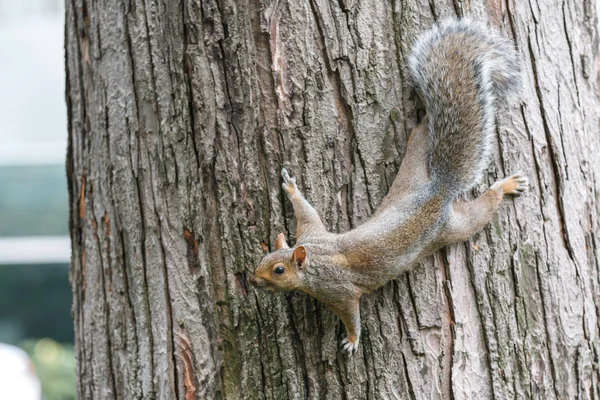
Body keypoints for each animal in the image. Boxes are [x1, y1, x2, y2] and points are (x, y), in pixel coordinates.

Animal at [246, 18, 528, 354]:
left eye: (279, 270)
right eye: (262, 260)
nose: (252, 280)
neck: (315, 258)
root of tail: (439, 188)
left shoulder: (339, 291)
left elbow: (351, 314)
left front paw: (352, 340)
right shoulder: (310, 232)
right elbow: (307, 212)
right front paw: (290, 187)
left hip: (454, 226)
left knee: (482, 210)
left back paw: (506, 186)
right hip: (413, 167)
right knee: (425, 132)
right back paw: (427, 116)